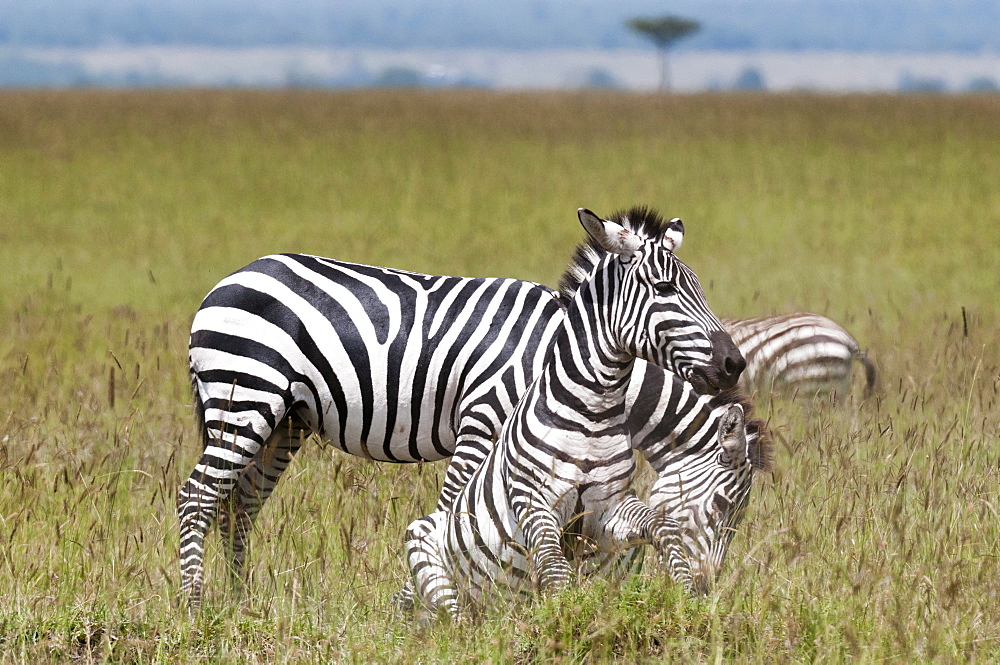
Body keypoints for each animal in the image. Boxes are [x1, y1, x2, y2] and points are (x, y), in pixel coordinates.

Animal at [404, 206, 744, 616]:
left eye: (698, 288)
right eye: (664, 288)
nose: (734, 364)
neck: (593, 413)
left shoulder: (608, 508)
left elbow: (661, 527)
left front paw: (687, 602)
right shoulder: (533, 500)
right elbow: (555, 570)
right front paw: (563, 619)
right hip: (424, 544)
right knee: (450, 613)